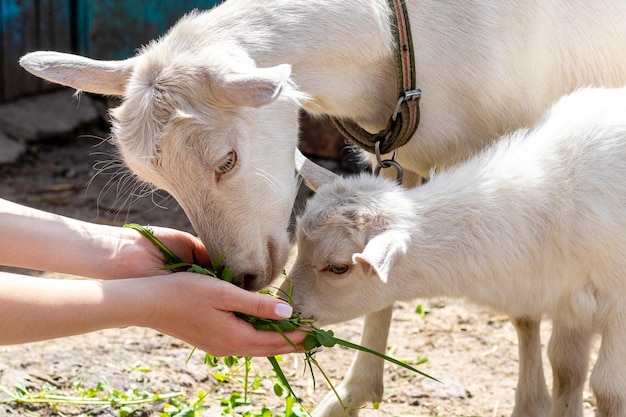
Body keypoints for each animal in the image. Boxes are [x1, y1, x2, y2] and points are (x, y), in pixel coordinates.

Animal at [288, 85, 626, 416]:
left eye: (339, 267)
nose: (287, 305)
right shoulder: (570, 303)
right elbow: (567, 368)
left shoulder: (615, 306)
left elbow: (609, 389)